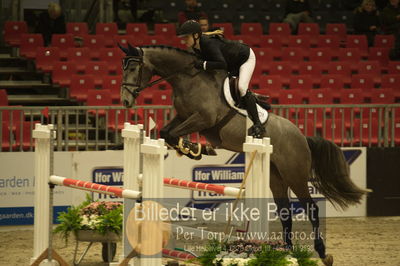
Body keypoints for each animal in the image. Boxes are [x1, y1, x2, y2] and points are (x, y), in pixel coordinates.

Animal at [119, 43, 368, 264]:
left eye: (133, 68)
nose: (125, 100)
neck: (188, 79)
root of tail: (302, 137)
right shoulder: (183, 117)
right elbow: (166, 132)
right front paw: (194, 149)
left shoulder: (203, 119)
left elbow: (172, 134)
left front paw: (195, 149)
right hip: (275, 176)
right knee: (285, 211)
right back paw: (287, 251)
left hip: (294, 175)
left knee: (312, 209)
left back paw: (322, 253)